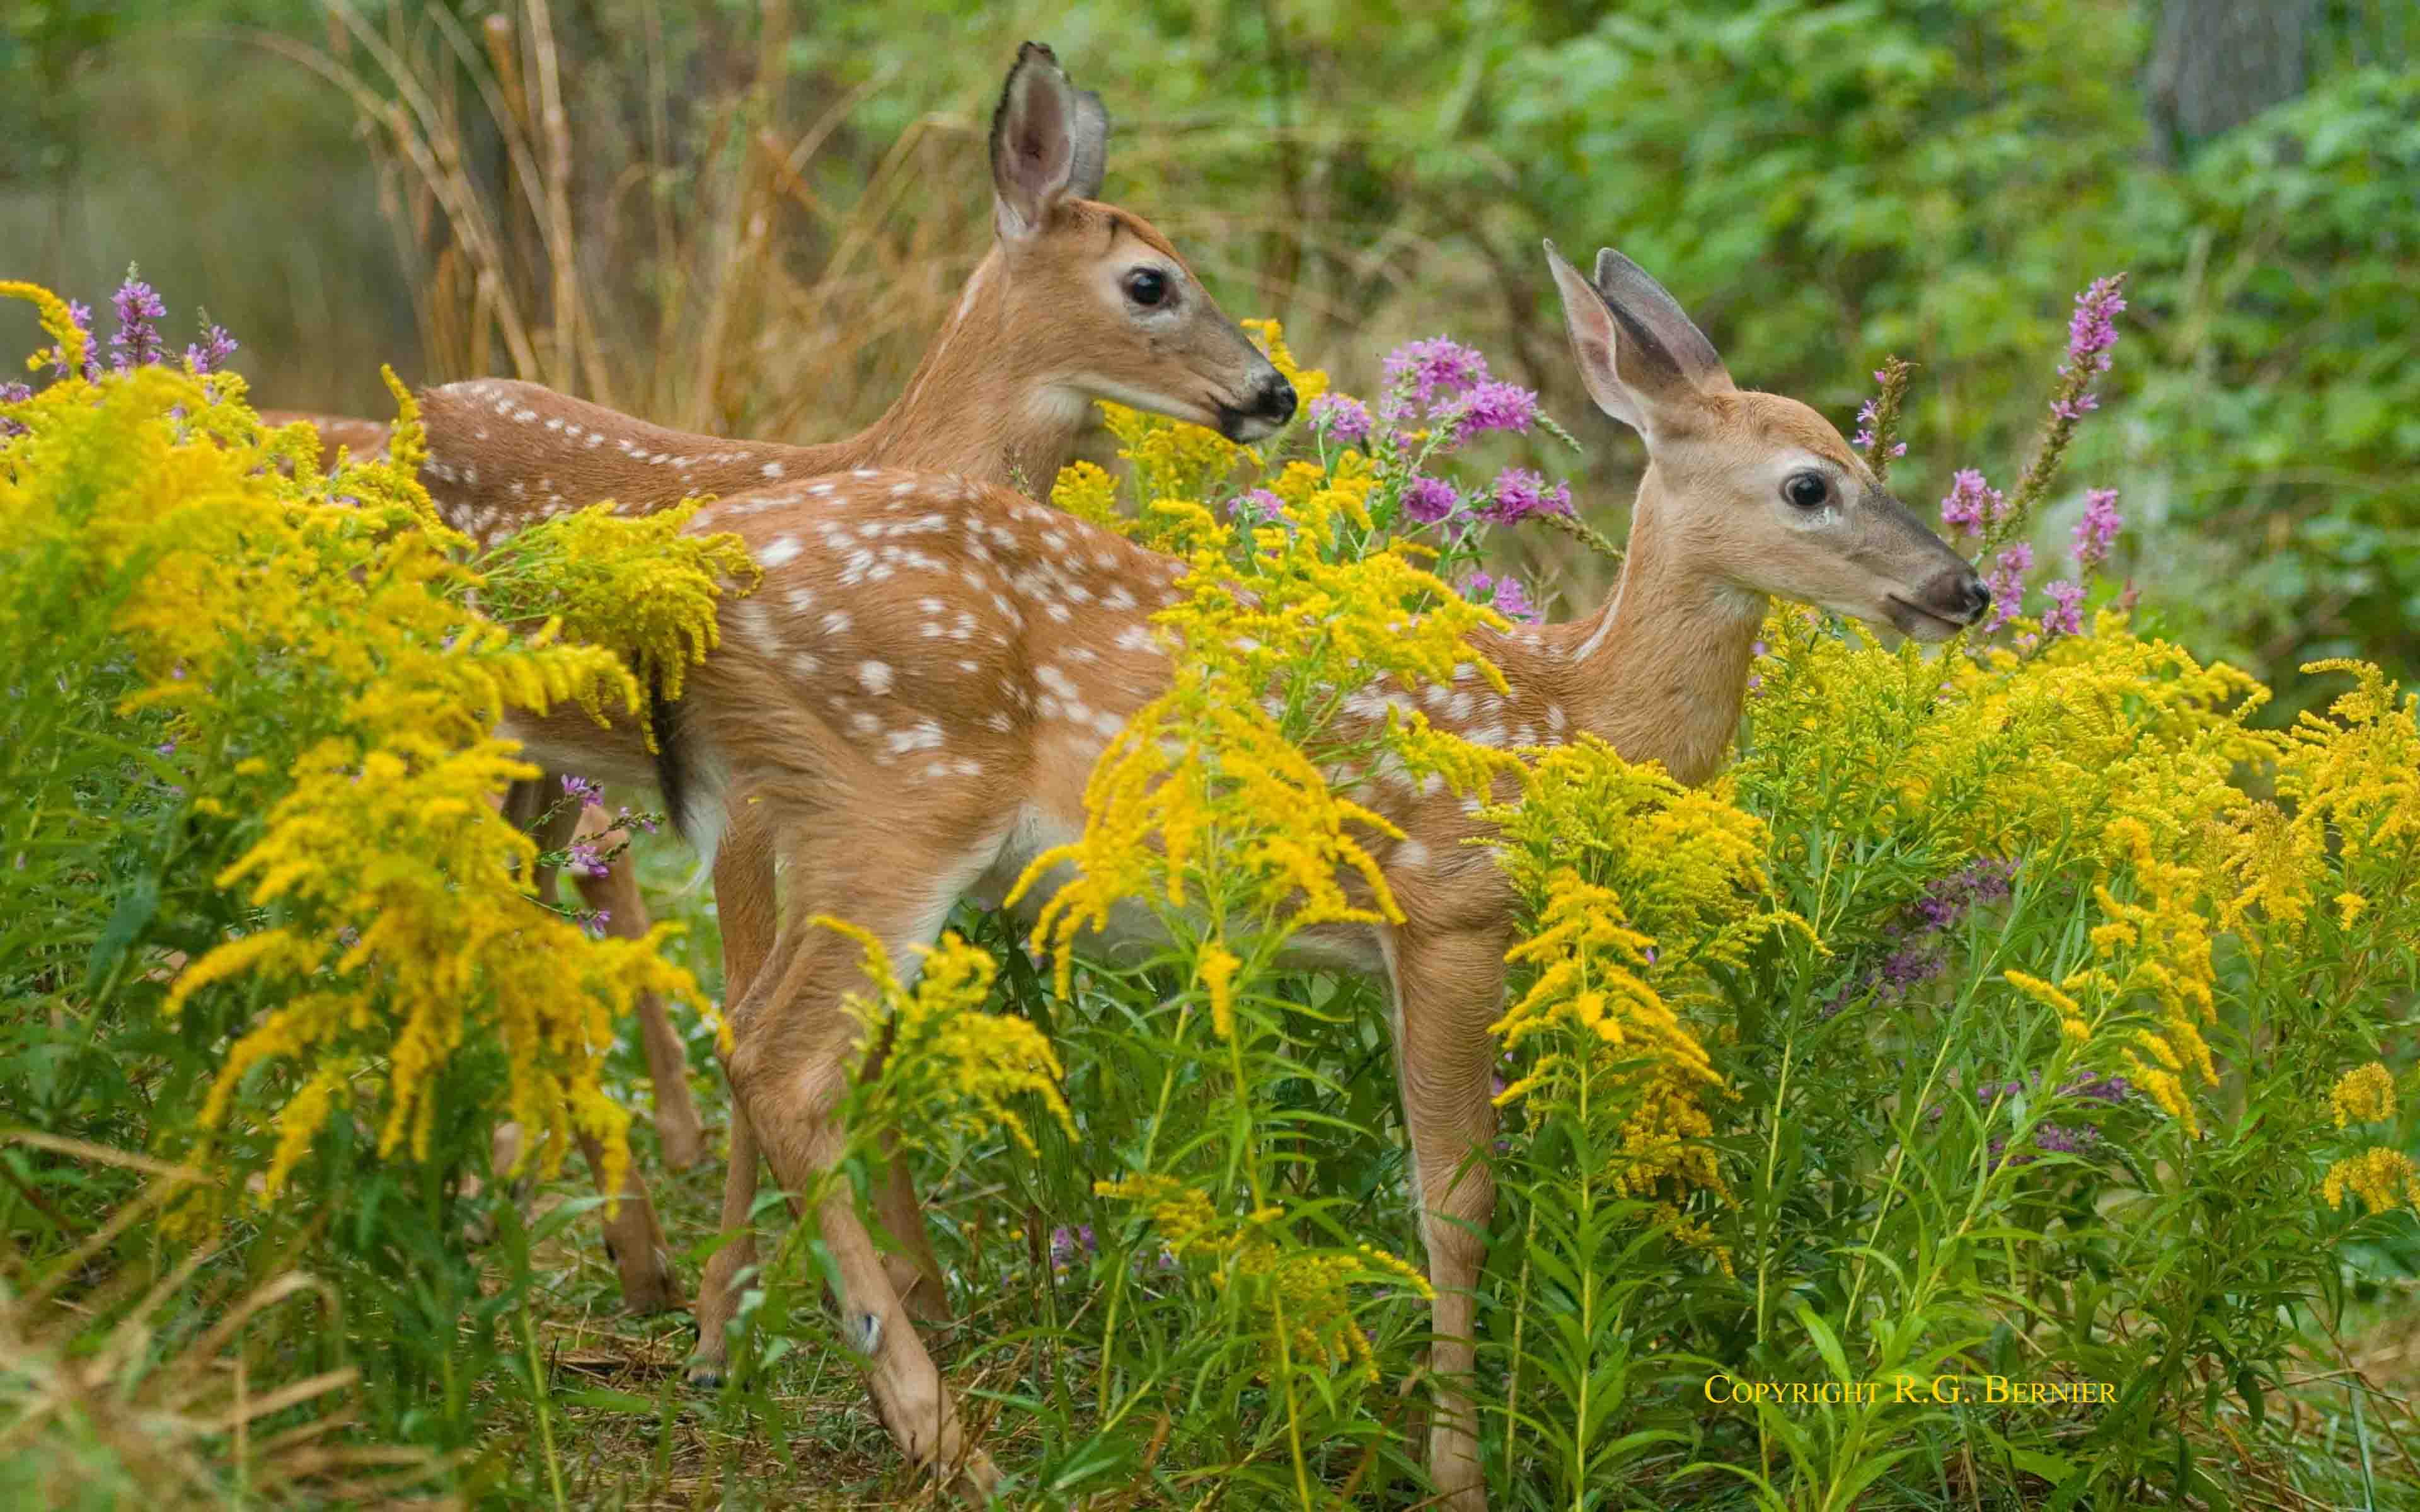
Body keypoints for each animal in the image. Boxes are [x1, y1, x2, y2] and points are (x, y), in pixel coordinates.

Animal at [260, 41, 1296, 1319]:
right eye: (1151, 282)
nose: (1274, 393)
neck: (893, 461)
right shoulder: (757, 805)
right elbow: (759, 1017)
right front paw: (750, 1294)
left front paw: (912, 1284)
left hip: (531, 758)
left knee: (509, 920)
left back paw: (570, 1231)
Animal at [490, 238, 1990, 1504]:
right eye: (1810, 486)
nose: (1964, 590)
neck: (1568, 715)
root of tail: (696, 581)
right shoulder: (1446, 912)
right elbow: (1457, 1206)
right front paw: (1459, 1471)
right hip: (895, 798)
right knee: (783, 1055)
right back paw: (945, 1438)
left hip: (806, 812)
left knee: (757, 1023)